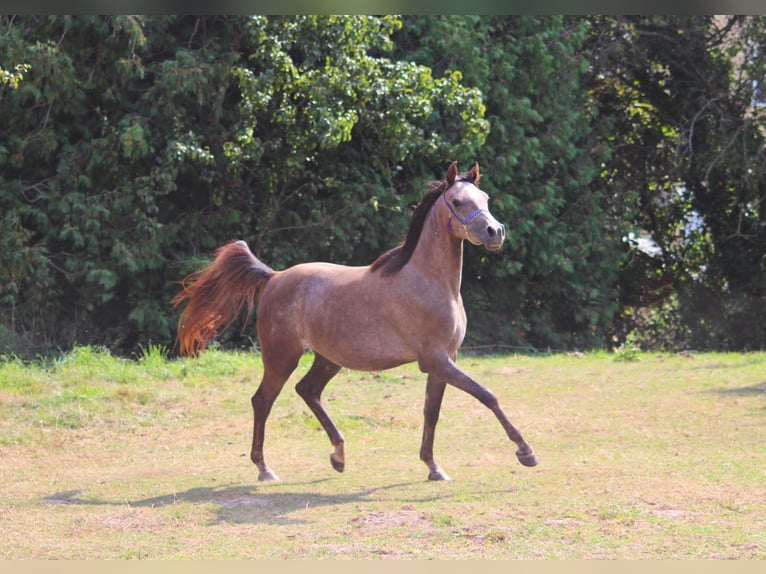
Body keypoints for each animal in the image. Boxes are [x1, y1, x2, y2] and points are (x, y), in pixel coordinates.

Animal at [172, 161, 540, 482]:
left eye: (485, 198)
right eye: (458, 201)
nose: (495, 232)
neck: (430, 281)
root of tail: (274, 277)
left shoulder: (444, 360)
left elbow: (431, 412)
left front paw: (433, 467)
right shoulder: (436, 359)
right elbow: (487, 395)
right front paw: (526, 452)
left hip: (327, 359)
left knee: (307, 391)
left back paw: (338, 455)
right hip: (281, 357)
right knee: (263, 400)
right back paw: (265, 470)